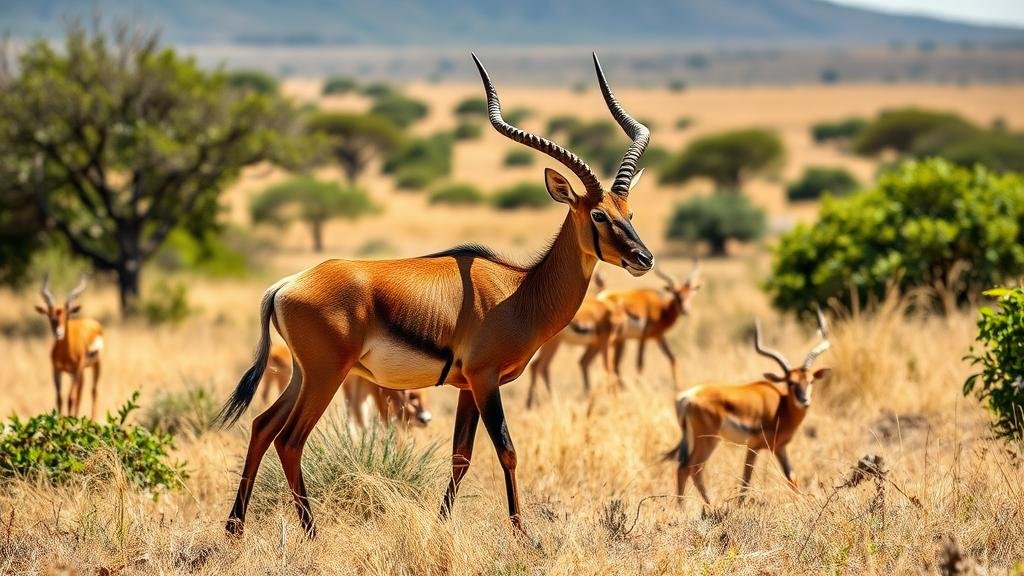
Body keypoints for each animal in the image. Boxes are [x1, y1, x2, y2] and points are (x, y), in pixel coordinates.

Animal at [33, 272, 104, 416]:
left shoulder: (76, 369)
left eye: (66, 316)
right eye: (51, 317)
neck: (66, 353)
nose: (58, 333)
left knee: (93, 391)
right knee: (81, 391)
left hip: (95, 365)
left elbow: (70, 398)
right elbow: (59, 399)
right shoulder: (56, 370)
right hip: (79, 372)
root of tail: (94, 323)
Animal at [524, 270, 610, 405]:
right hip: (553, 345)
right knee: (541, 367)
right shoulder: (605, 342)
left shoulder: (595, 345)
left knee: (535, 366)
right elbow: (608, 367)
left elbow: (585, 363)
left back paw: (532, 403)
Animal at [663, 307, 831, 504]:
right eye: (790, 382)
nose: (804, 400)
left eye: (810, 380)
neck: (781, 406)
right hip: (708, 440)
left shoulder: (780, 447)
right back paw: (707, 506)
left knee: (685, 468)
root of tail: (687, 397)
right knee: (690, 468)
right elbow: (746, 479)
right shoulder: (753, 446)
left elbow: (792, 477)